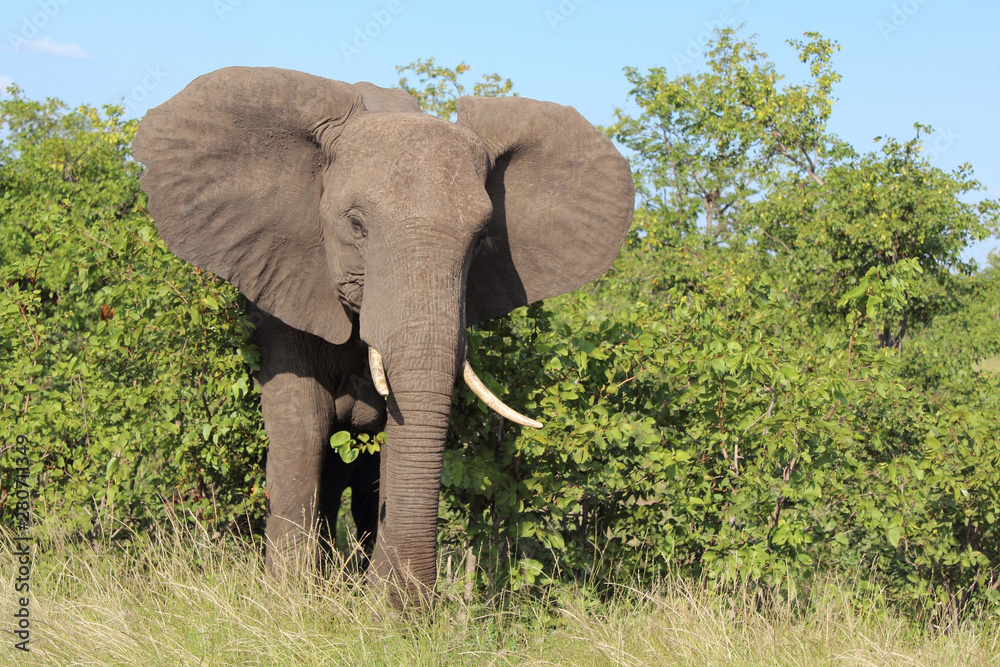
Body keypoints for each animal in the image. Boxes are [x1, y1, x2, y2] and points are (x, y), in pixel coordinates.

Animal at [132, 67, 634, 606]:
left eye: (482, 240)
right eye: (356, 225)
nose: (413, 607)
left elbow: (395, 437)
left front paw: (379, 606)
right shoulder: (284, 282)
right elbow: (302, 422)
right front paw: (289, 601)